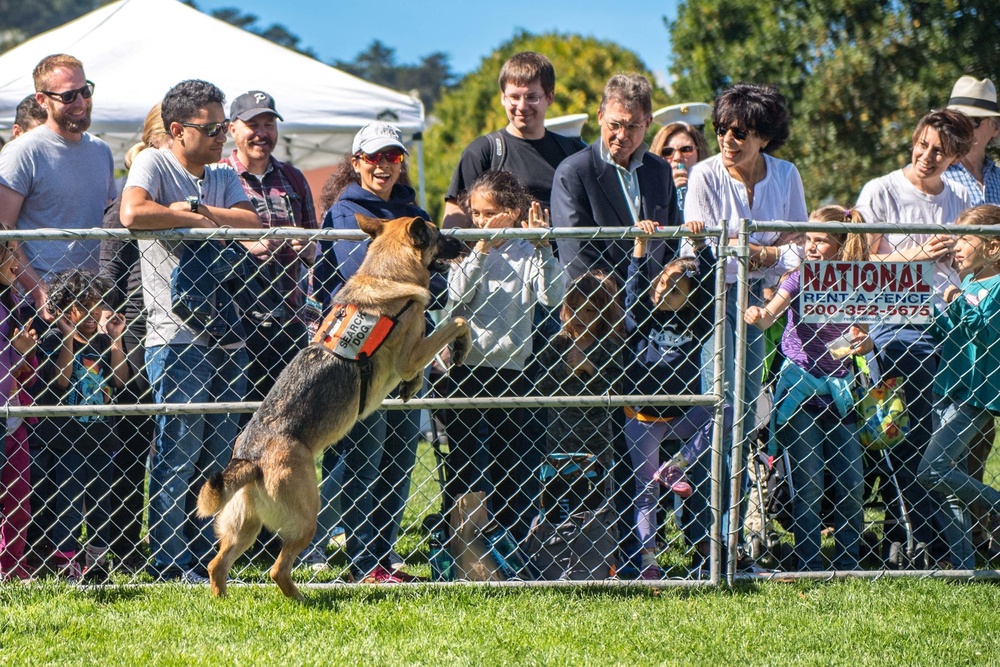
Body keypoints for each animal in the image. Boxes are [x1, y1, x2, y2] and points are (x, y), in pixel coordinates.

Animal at [201, 215, 474, 600]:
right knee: (277, 569)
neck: (386, 272)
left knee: (217, 564)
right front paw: (459, 347)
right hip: (305, 519)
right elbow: (457, 323)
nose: (462, 243)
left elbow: (422, 364)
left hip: (245, 526)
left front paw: (412, 386)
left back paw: (223, 602)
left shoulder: (412, 355)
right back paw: (303, 599)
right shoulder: (411, 352)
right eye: (439, 234)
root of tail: (250, 458)